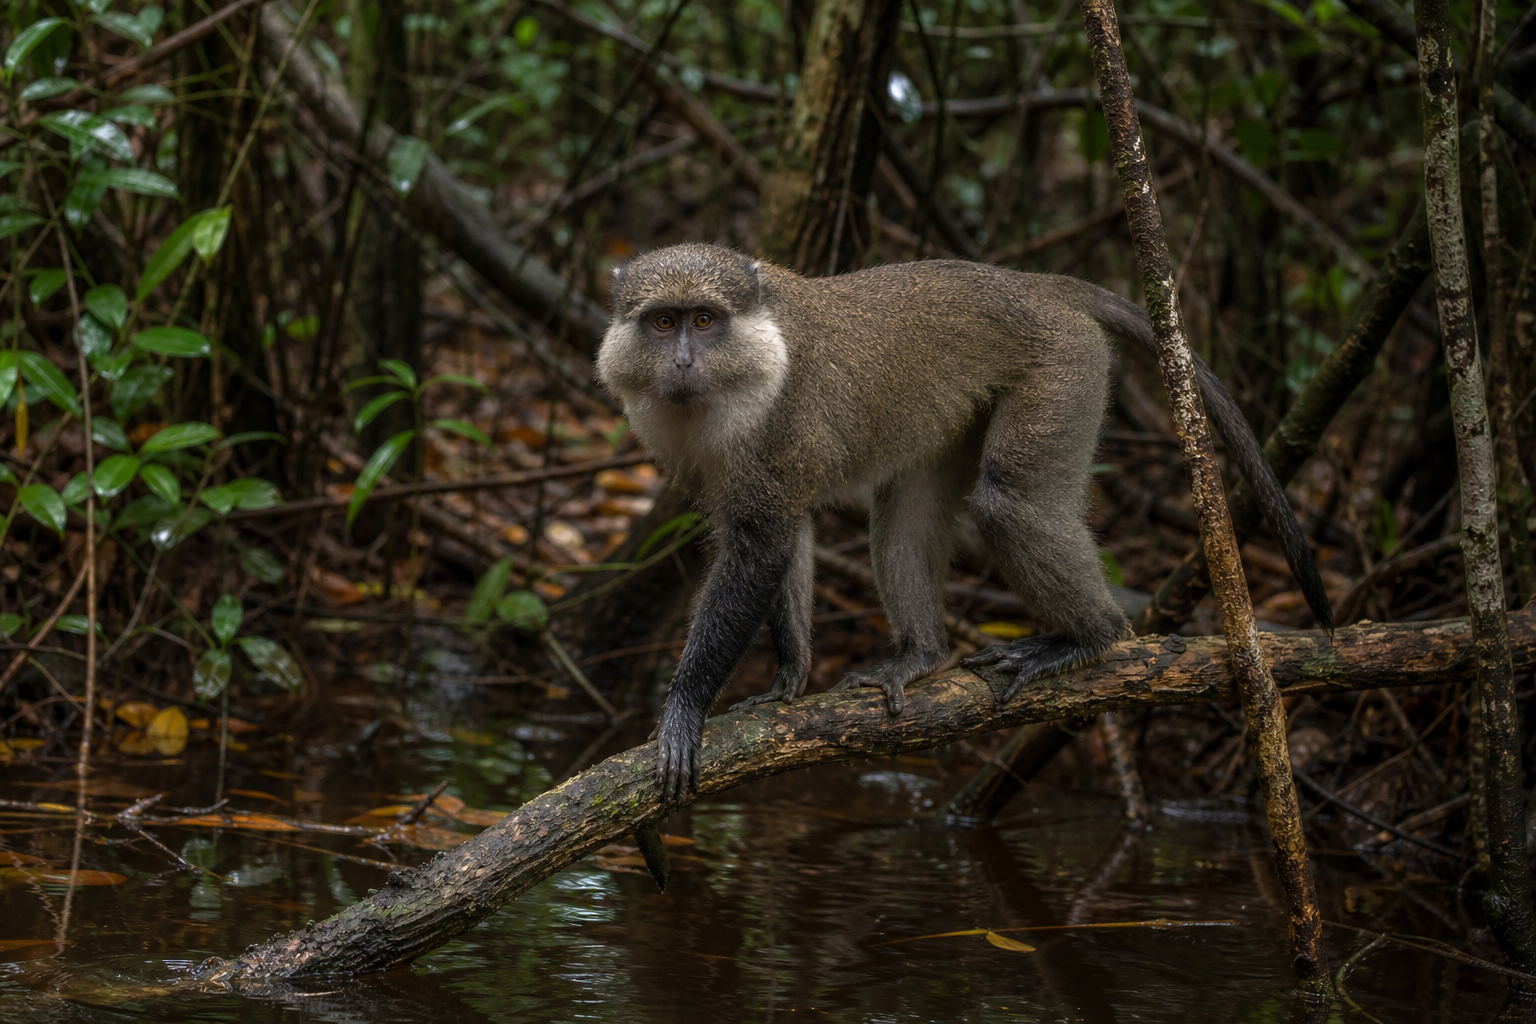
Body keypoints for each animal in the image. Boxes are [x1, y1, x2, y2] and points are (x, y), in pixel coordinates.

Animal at [596, 243, 1333, 803]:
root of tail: (1031, 284)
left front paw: (684, 708)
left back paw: (1093, 638)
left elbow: (762, 546)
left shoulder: (777, 429)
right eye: (662, 323)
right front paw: (788, 678)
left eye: (704, 320)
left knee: (1011, 502)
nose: (683, 362)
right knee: (905, 514)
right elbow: (784, 534)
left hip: (1064, 369)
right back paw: (924, 653)